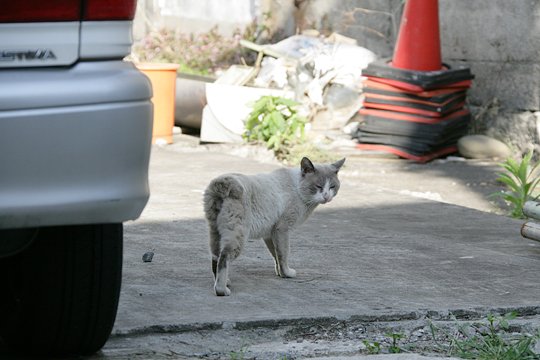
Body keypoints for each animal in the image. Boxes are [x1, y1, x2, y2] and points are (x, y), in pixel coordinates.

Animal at [202, 157, 346, 296]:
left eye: (332, 187)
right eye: (318, 186)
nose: (326, 196)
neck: (298, 187)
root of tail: (222, 182)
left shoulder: (270, 233)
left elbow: (276, 254)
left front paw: (280, 273)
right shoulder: (282, 229)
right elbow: (284, 254)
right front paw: (287, 273)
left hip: (215, 232)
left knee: (215, 257)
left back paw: (225, 282)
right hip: (238, 235)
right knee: (224, 257)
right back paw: (222, 290)